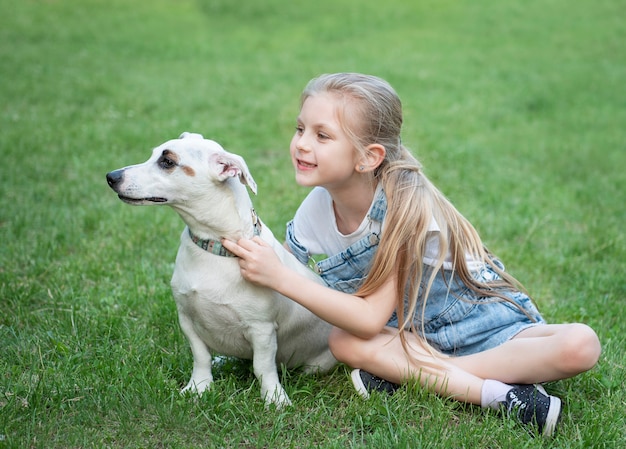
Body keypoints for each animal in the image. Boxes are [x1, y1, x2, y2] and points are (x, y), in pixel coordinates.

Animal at [105, 130, 334, 406]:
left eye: (167, 162)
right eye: (153, 154)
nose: (111, 177)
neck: (214, 248)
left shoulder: (262, 330)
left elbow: (263, 367)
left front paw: (274, 398)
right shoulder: (187, 319)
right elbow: (200, 357)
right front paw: (199, 386)